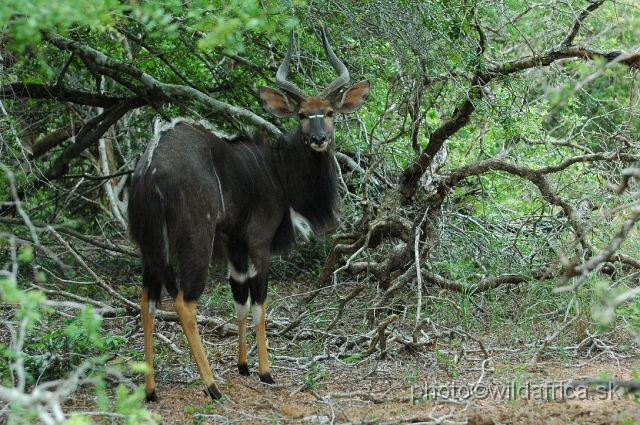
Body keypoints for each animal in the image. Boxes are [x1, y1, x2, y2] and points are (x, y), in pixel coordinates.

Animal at [127, 27, 370, 400]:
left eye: (329, 112)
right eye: (302, 115)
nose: (318, 139)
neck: (278, 171)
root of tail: (150, 165)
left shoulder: (234, 244)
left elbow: (239, 299)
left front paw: (243, 366)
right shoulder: (258, 242)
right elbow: (260, 304)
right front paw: (266, 372)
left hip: (149, 246)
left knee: (146, 301)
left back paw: (151, 390)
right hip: (196, 242)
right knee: (184, 302)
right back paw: (212, 386)